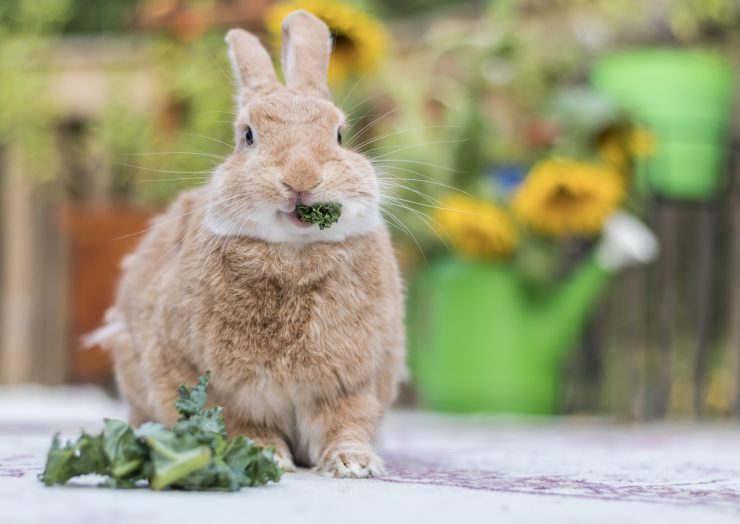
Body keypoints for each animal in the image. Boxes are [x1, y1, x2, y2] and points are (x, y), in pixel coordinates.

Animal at [94, 10, 404, 478]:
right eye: (248, 136)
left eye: (339, 135)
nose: (301, 177)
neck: (293, 253)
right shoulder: (220, 386)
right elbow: (242, 424)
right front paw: (265, 456)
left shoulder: (352, 384)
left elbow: (345, 423)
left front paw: (354, 464)